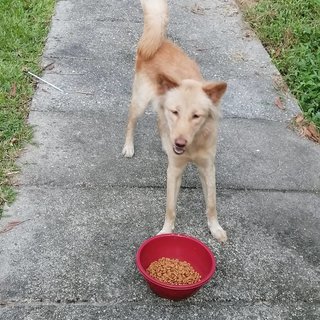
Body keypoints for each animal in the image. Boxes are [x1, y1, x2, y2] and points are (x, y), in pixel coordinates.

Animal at [122, 0, 228, 241]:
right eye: (176, 112)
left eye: (196, 116)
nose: (178, 143)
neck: (193, 144)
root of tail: (159, 42)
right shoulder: (174, 170)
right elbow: (171, 207)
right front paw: (165, 231)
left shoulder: (208, 168)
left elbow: (212, 204)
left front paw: (215, 228)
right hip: (140, 101)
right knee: (131, 121)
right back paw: (129, 147)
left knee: (160, 122)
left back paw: (164, 144)